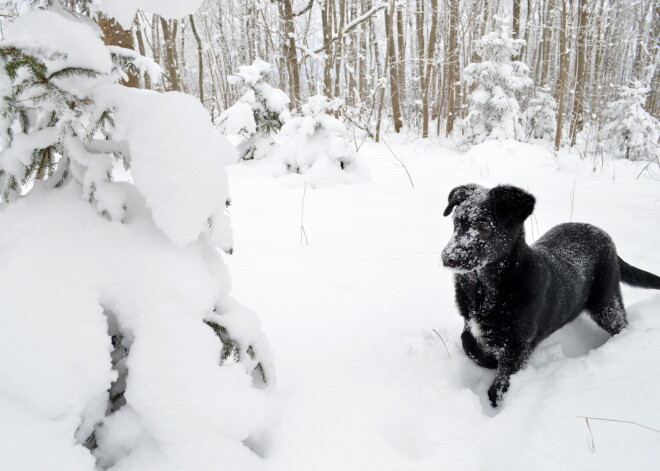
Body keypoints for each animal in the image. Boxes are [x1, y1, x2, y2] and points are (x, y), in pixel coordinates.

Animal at [440, 184, 660, 410]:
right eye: (456, 222)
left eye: (483, 225)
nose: (447, 257)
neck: (487, 289)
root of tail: (603, 234)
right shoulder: (470, 322)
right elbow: (467, 340)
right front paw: (489, 361)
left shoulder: (519, 345)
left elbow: (502, 381)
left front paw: (497, 403)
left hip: (605, 302)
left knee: (621, 324)